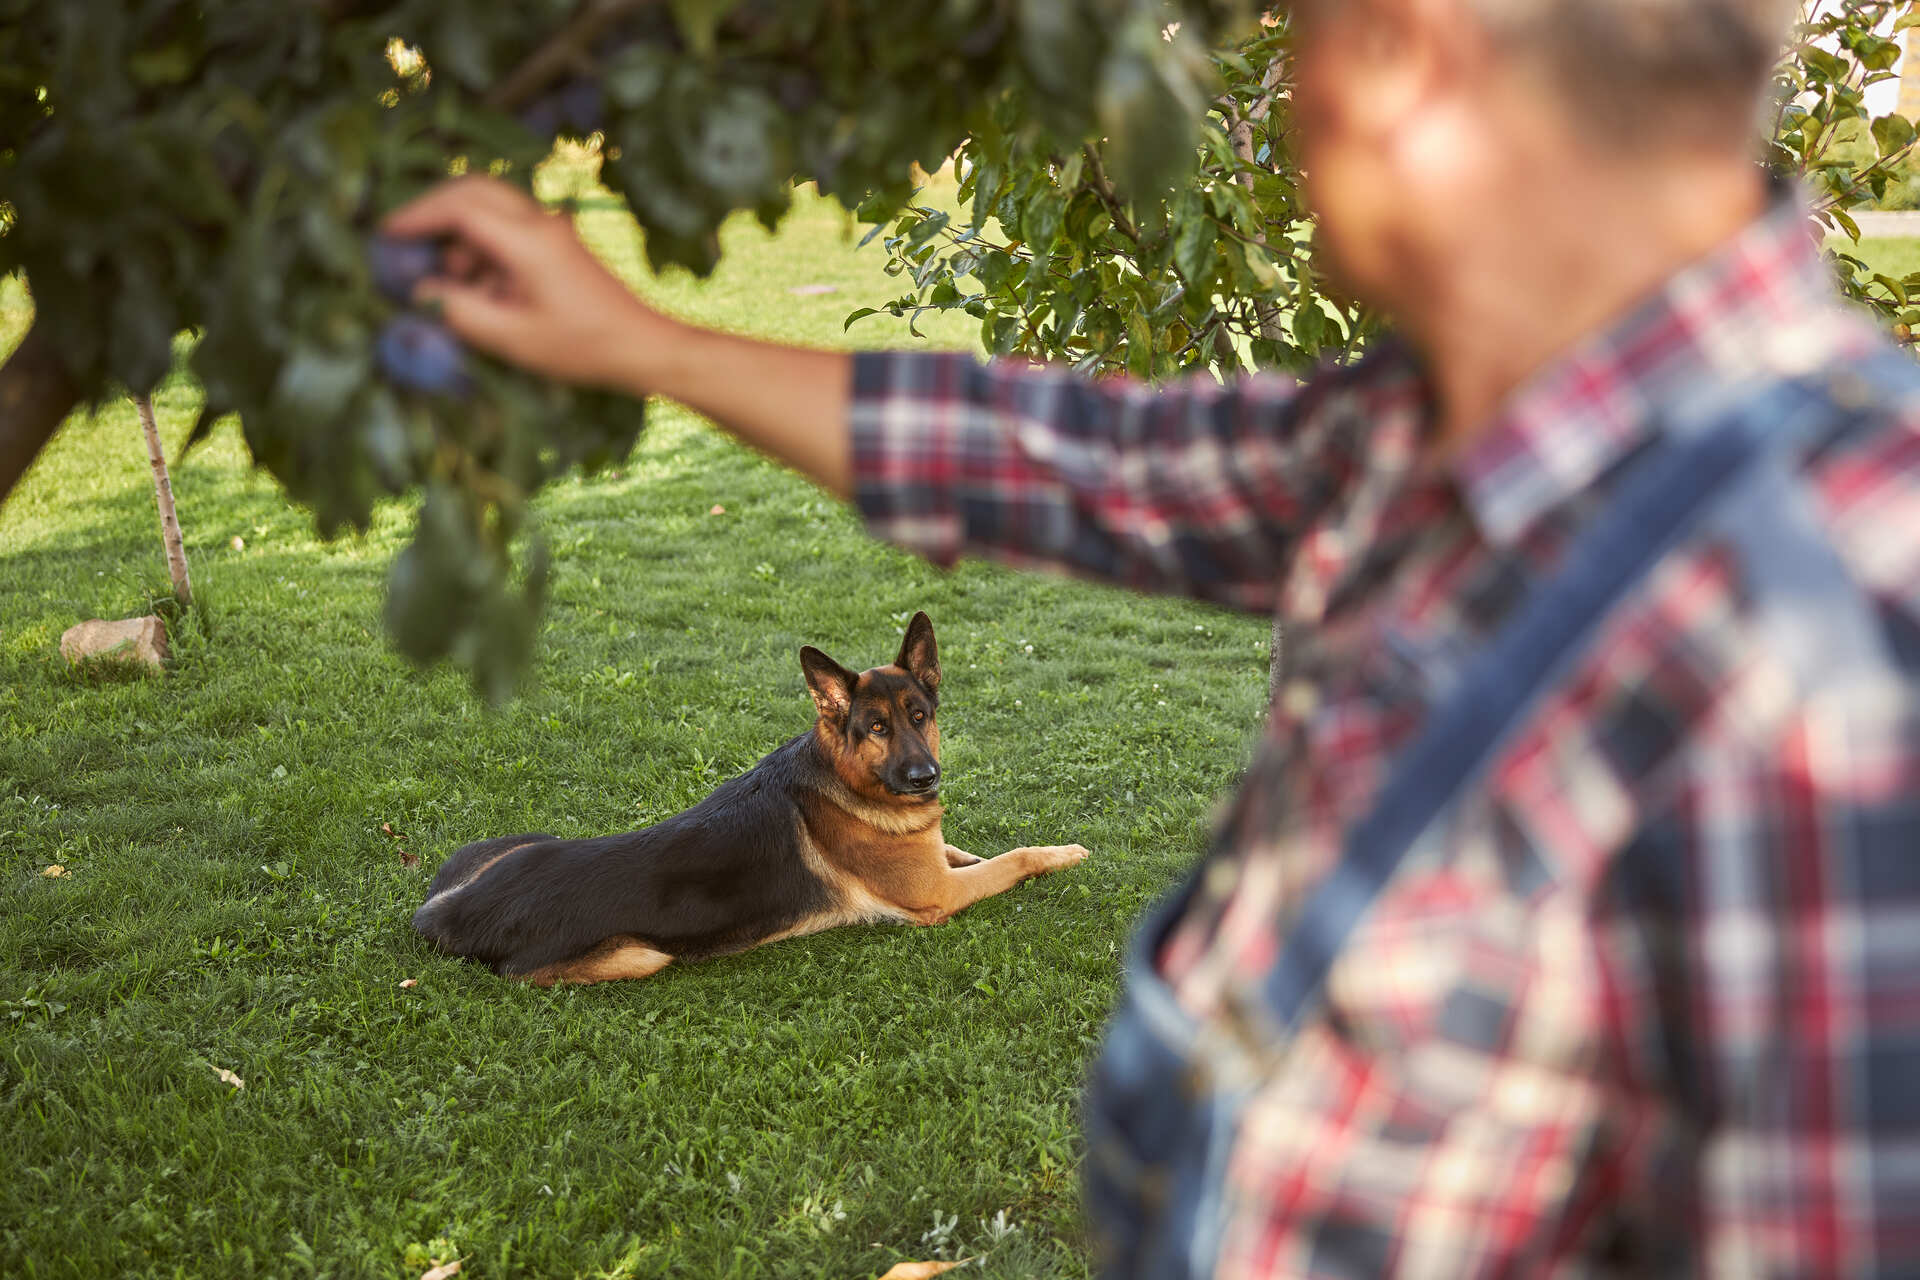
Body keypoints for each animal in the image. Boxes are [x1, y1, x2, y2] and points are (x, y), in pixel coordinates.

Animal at [410, 614, 1090, 990]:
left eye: (920, 716)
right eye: (876, 728)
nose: (925, 777)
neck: (847, 781)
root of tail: (442, 912)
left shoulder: (933, 859)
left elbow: (965, 849)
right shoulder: (938, 898)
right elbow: (1011, 859)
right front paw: (1061, 853)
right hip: (640, 956)